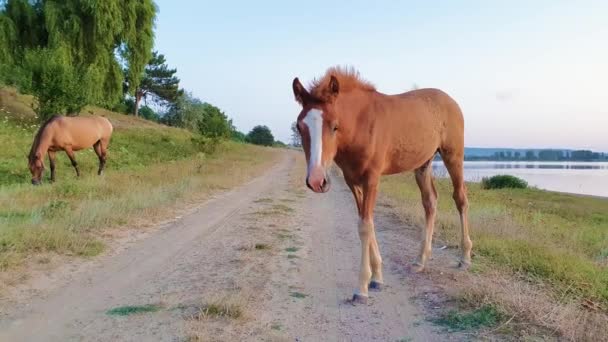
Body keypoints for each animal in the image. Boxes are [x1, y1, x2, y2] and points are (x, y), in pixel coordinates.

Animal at [292, 67, 472, 304]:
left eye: (335, 126)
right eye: (299, 126)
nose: (316, 180)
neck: (360, 124)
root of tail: (451, 101)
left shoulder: (372, 178)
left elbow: (364, 226)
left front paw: (361, 288)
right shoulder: (353, 181)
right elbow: (366, 223)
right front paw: (377, 277)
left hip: (453, 156)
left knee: (460, 199)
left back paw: (465, 257)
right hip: (423, 164)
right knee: (430, 201)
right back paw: (420, 260)